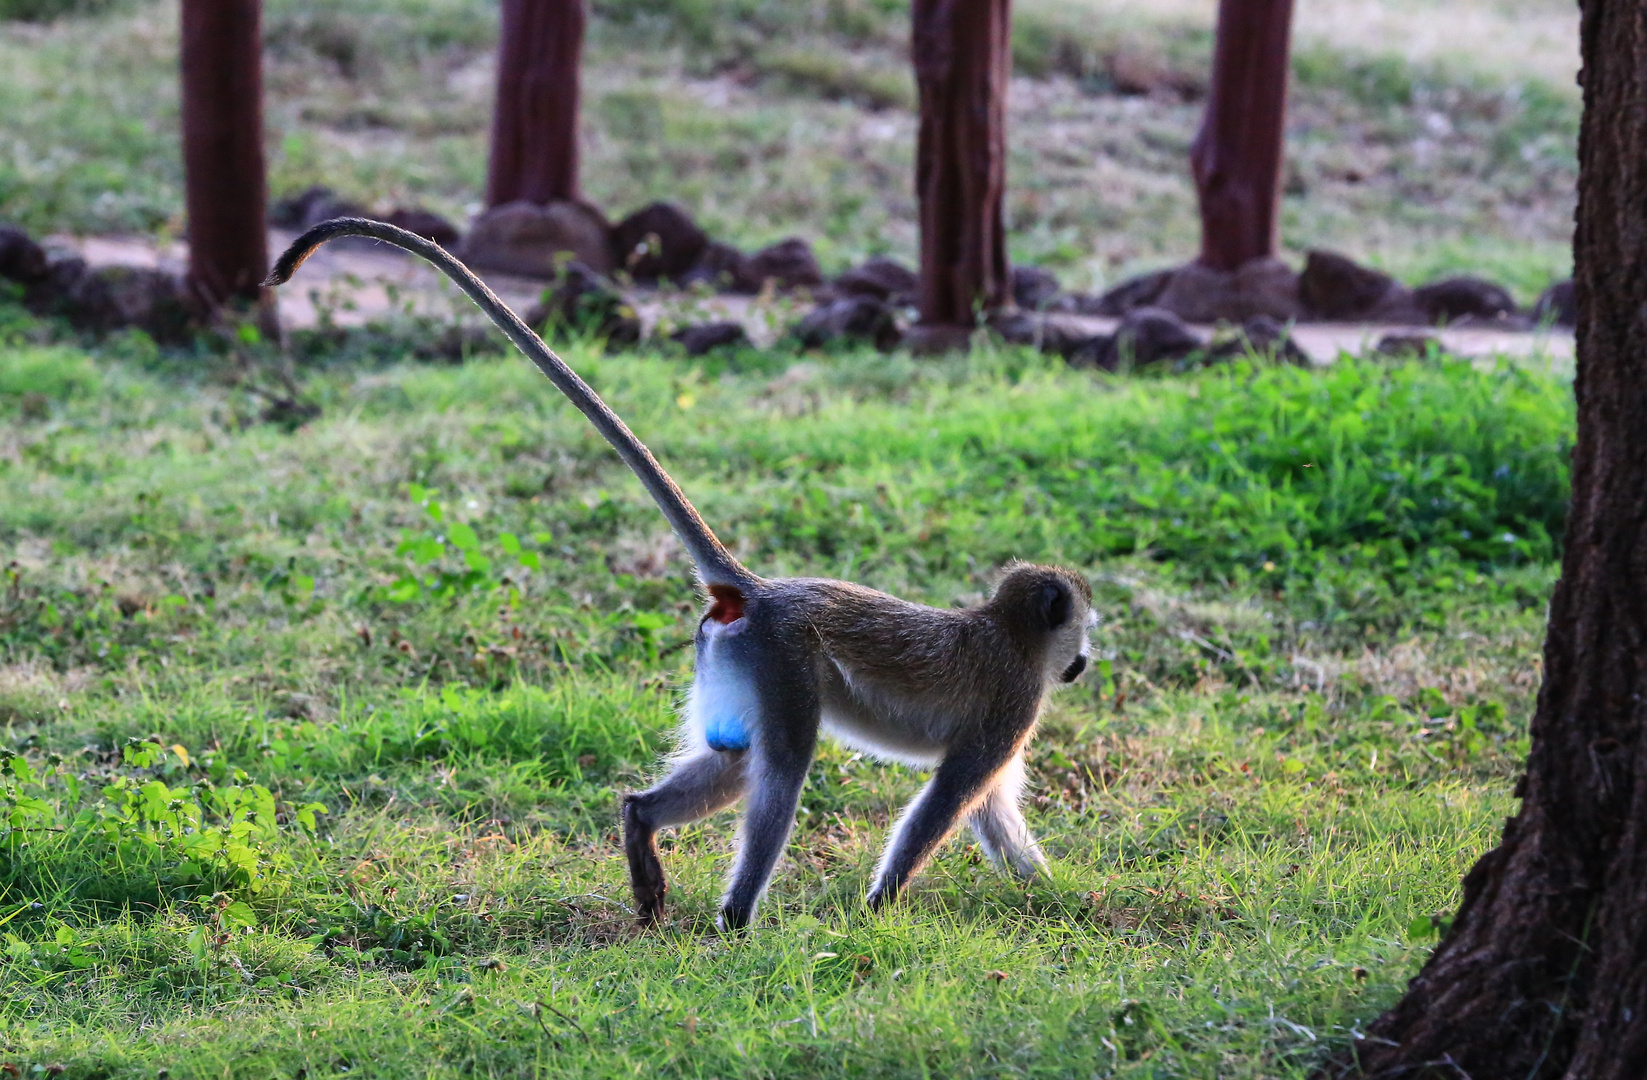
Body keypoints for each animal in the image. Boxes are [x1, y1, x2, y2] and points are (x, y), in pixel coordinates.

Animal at [270, 218, 1093, 928]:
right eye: (1083, 626)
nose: (1083, 661)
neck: (1011, 633)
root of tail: (754, 591)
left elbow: (991, 810)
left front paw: (1051, 899)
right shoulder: (1012, 704)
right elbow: (949, 799)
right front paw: (881, 906)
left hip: (736, 662)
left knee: (737, 757)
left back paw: (642, 830)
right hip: (781, 662)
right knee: (781, 764)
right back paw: (736, 917)